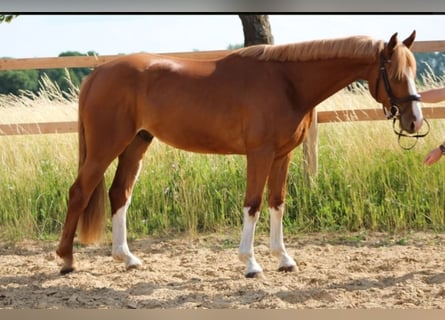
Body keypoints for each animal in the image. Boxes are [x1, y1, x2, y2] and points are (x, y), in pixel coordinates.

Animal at [56, 31, 424, 278]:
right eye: (394, 75)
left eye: (414, 71)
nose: (415, 121)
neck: (288, 83)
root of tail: (97, 74)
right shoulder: (259, 154)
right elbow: (253, 204)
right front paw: (250, 263)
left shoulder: (282, 156)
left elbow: (277, 203)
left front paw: (284, 259)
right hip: (105, 147)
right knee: (79, 192)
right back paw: (66, 260)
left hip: (136, 144)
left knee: (120, 194)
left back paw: (127, 258)